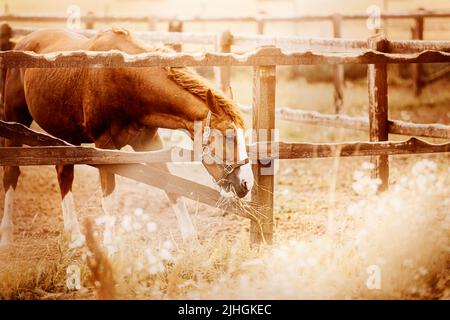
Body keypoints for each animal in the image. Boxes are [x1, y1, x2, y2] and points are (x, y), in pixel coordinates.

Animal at [0, 27, 253, 248]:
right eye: (230, 137)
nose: (246, 184)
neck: (129, 82)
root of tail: (21, 43)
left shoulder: (149, 143)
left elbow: (171, 187)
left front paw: (190, 239)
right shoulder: (104, 147)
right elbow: (109, 200)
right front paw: (110, 247)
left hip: (67, 136)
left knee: (64, 174)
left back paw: (74, 237)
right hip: (16, 122)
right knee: (12, 173)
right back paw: (7, 236)